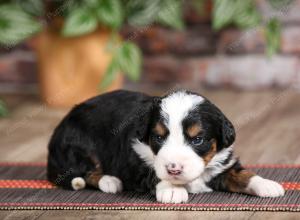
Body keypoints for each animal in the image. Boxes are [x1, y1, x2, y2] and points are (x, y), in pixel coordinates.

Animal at [47, 89, 284, 203]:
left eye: (197, 140)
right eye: (159, 138)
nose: (174, 168)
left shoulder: (221, 163)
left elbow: (243, 174)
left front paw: (267, 184)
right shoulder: (135, 157)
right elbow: (153, 172)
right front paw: (172, 190)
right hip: (80, 143)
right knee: (86, 171)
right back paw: (109, 181)